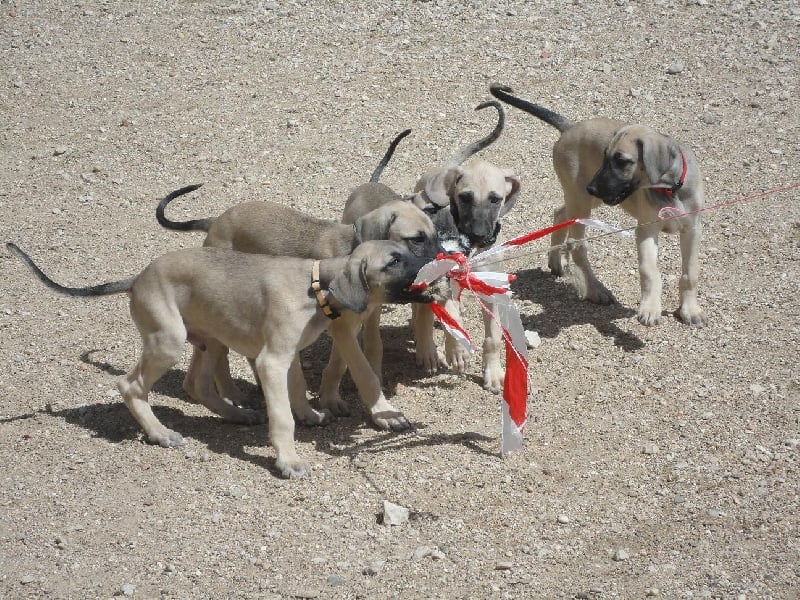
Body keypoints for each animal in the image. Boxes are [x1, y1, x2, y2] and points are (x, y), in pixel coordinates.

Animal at [7, 239, 444, 478]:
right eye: (393, 261)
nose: (438, 262)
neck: (316, 285)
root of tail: (137, 278)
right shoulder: (271, 360)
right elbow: (282, 417)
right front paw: (288, 460)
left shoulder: (286, 355)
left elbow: (297, 391)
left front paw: (309, 415)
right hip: (169, 340)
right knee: (129, 385)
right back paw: (160, 433)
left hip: (210, 339)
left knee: (196, 384)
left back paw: (236, 413)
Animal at [488, 83, 708, 328]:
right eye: (605, 156)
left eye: (621, 161)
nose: (592, 187)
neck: (671, 189)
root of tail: (569, 127)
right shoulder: (646, 230)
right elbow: (650, 270)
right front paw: (650, 309)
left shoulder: (692, 229)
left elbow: (691, 272)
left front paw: (690, 310)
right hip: (582, 200)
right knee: (576, 246)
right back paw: (595, 290)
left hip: (584, 199)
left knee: (560, 213)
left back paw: (555, 261)